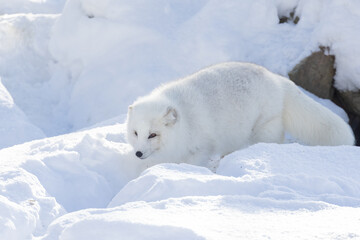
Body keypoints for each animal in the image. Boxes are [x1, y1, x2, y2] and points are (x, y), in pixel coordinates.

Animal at [126, 62, 354, 167]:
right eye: (136, 133)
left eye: (153, 134)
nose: (137, 154)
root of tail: (277, 79)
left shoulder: (201, 148)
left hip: (263, 131)